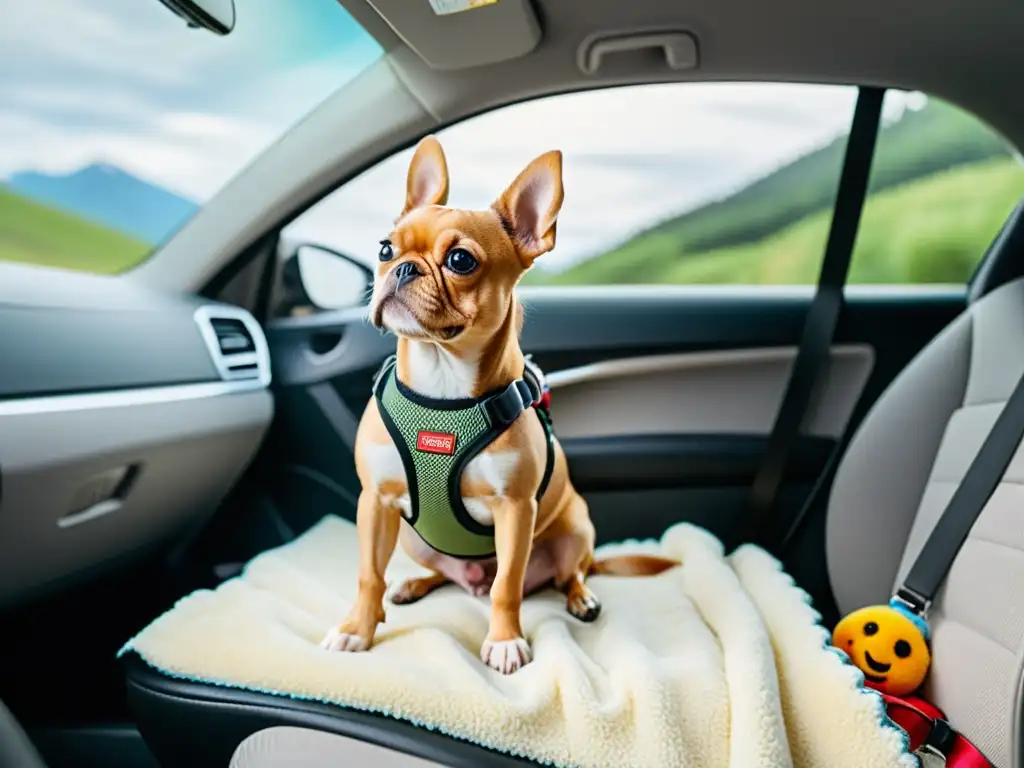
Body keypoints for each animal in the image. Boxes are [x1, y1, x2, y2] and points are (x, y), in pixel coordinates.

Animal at [319, 138, 671, 671]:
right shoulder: (375, 503)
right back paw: (414, 584)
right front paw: (356, 629)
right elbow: (368, 575)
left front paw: (505, 641)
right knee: (444, 573)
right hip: (411, 536)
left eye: (461, 260)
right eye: (385, 249)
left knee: (565, 574)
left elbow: (508, 584)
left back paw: (580, 598)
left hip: (576, 530)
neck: (442, 381)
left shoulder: (515, 510)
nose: (403, 267)